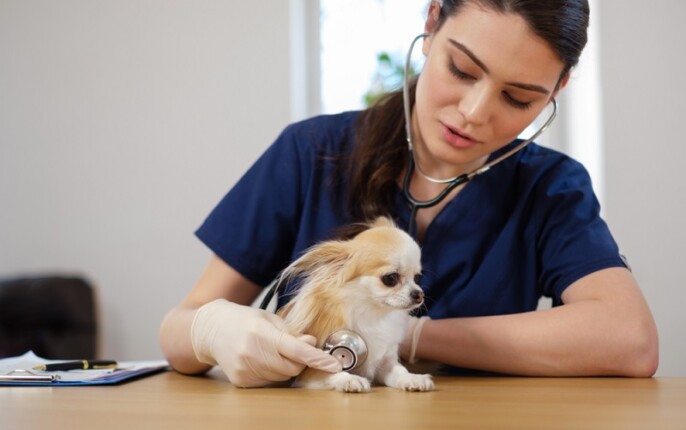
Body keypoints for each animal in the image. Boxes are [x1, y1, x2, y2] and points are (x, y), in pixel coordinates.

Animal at [276, 218, 432, 394]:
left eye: (417, 278)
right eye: (391, 278)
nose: (419, 294)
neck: (372, 314)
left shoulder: (386, 363)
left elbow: (399, 371)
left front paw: (413, 378)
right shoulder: (313, 367)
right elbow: (331, 372)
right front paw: (351, 379)